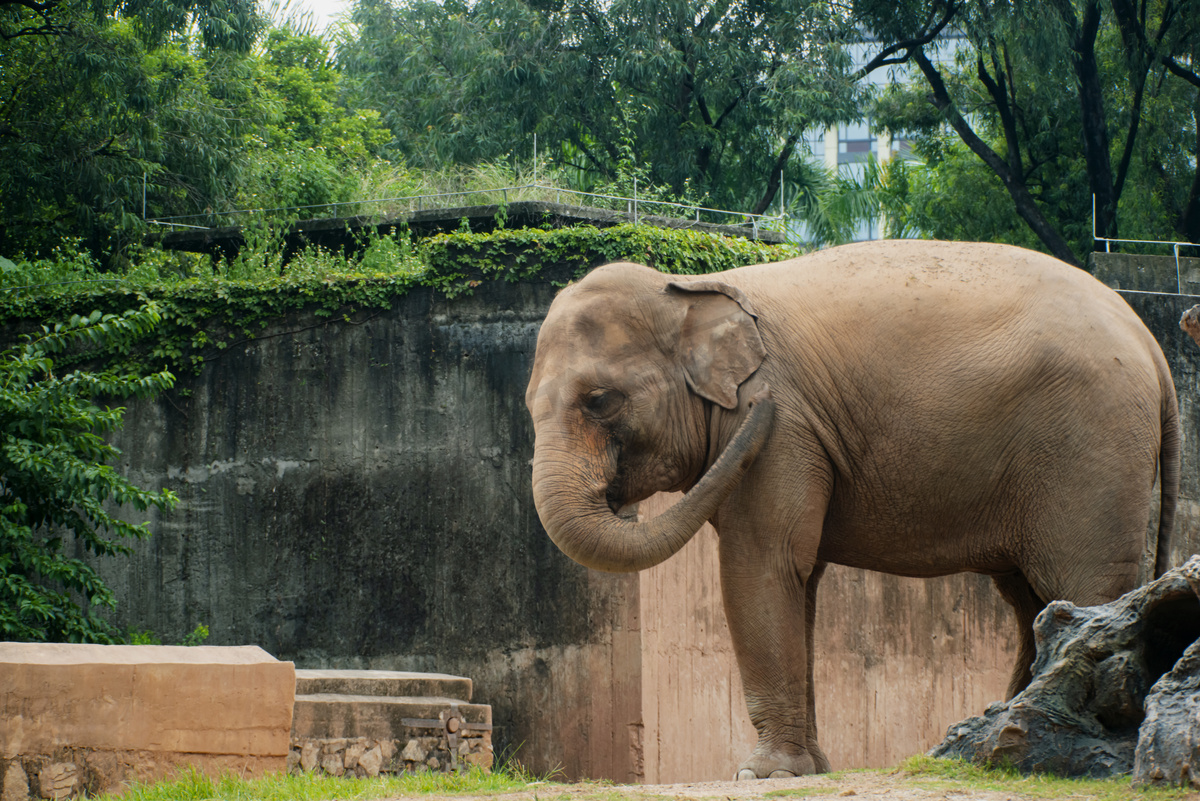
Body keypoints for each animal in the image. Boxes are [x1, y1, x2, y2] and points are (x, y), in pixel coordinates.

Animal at [525, 237, 1180, 777]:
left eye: (600, 401)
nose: (761, 408)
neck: (691, 288)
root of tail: (1152, 343)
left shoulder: (785, 430)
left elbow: (763, 564)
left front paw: (764, 775)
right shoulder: (793, 440)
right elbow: (798, 577)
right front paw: (809, 769)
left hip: (1089, 448)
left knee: (1082, 584)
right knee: (1030, 601)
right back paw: (997, 732)